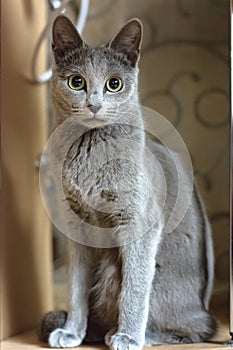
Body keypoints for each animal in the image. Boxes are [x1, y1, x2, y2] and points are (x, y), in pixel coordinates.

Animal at [37, 15, 218, 348]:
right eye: (76, 82)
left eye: (114, 84)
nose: (94, 104)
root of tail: (203, 307)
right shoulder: (76, 225)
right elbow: (76, 285)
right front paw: (72, 331)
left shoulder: (138, 220)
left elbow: (134, 287)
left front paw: (128, 336)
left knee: (191, 329)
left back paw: (125, 334)